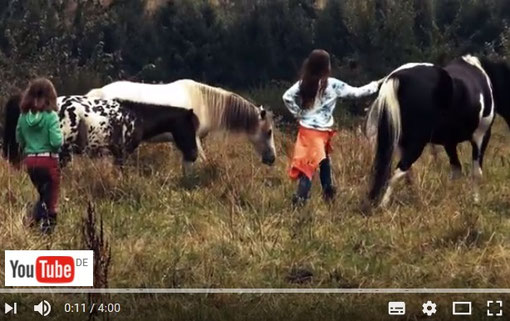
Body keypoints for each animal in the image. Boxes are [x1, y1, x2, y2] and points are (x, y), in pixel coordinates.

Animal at [366, 54, 510, 205]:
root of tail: (397, 76)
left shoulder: (450, 143)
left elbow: (456, 170)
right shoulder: (481, 136)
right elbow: (476, 172)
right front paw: (475, 200)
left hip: (400, 142)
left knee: (405, 173)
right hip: (416, 144)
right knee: (399, 171)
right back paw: (383, 204)